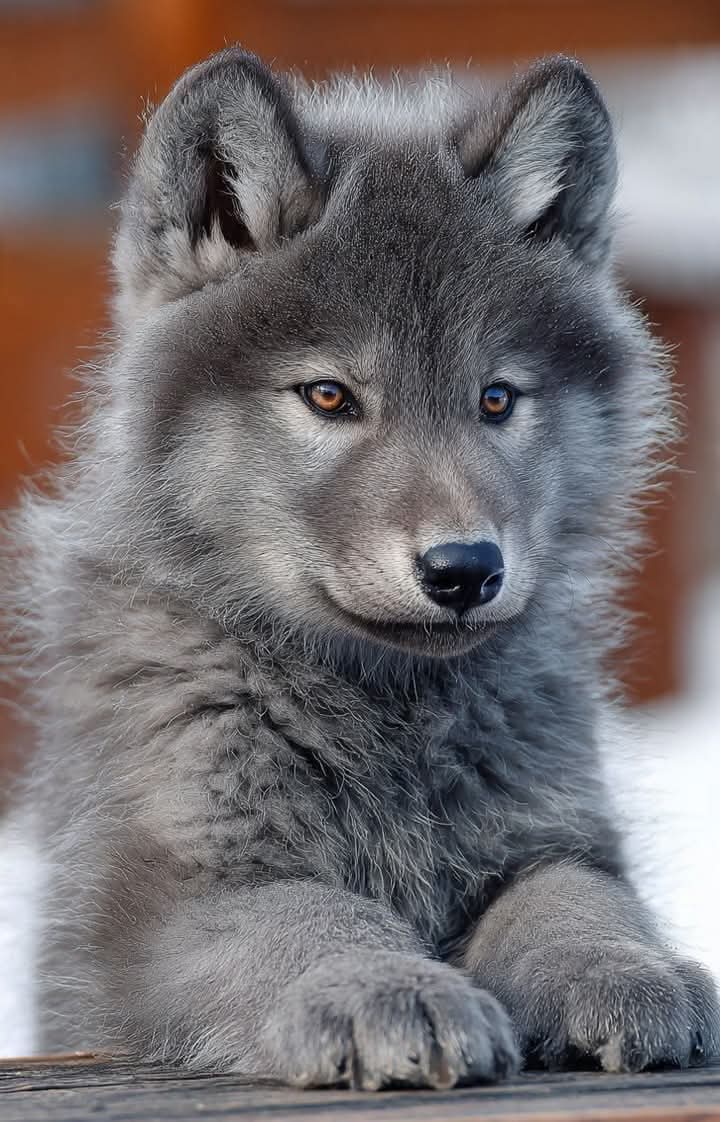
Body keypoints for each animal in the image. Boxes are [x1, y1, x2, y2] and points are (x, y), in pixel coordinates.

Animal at [4, 46, 718, 1089]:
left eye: (496, 398)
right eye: (330, 396)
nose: (464, 568)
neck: (386, 716)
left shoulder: (551, 839)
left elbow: (571, 900)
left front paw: (624, 968)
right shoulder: (175, 898)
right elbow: (317, 916)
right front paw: (392, 989)